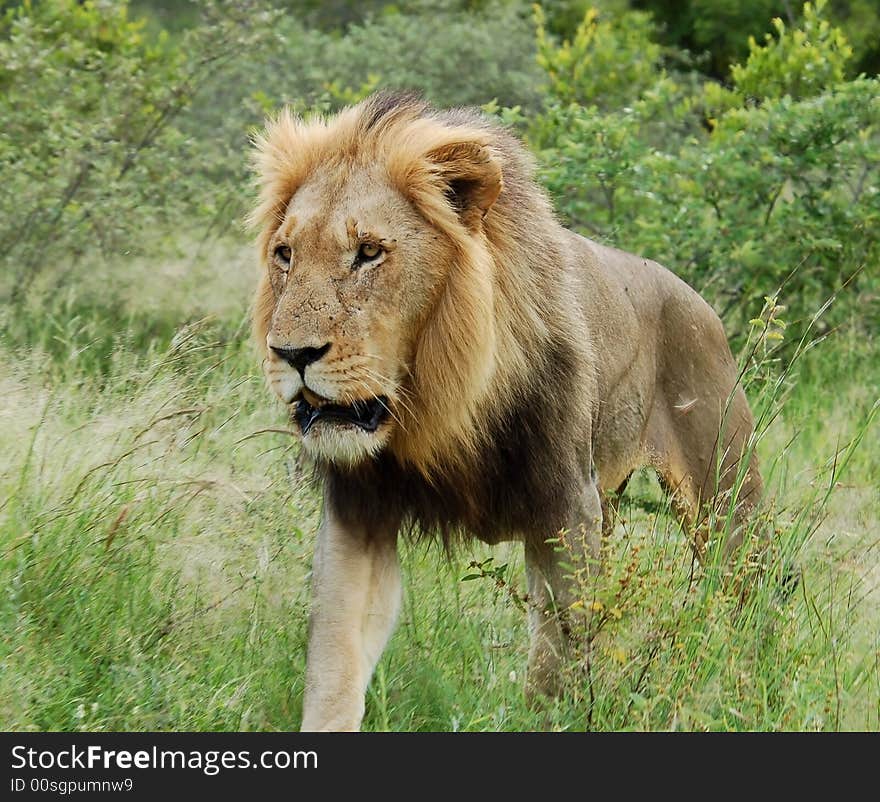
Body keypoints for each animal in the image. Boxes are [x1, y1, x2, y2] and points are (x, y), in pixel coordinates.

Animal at [248, 90, 764, 728]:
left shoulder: (565, 509)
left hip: (726, 504)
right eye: (285, 254)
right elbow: (334, 659)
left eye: (368, 252)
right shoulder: (358, 514)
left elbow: (557, 659)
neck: (438, 406)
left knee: (754, 599)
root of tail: (703, 305)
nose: (291, 354)